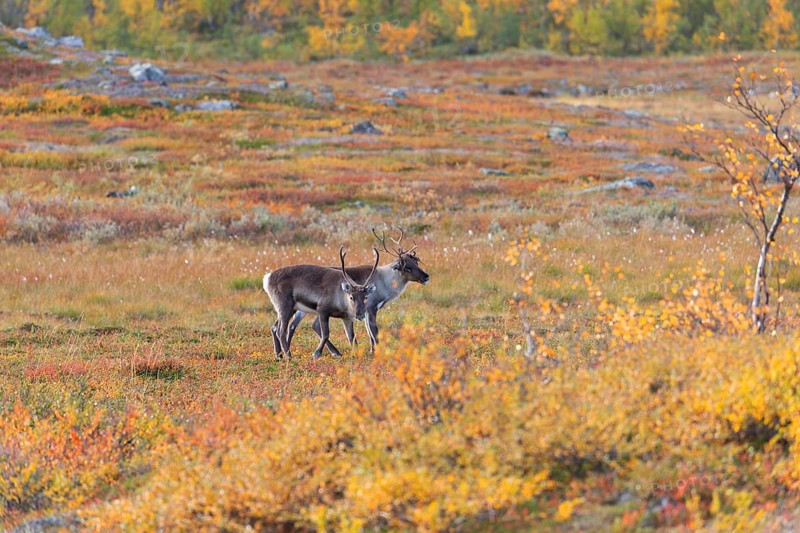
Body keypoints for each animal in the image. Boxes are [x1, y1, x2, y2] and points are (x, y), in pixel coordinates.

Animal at [285, 227, 430, 356]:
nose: (426, 277)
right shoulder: (371, 307)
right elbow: (374, 331)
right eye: (407, 267)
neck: (384, 281)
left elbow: (369, 331)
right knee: (305, 325)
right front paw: (377, 352)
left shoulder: (365, 309)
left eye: (416, 263)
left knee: (296, 325)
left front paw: (372, 351)